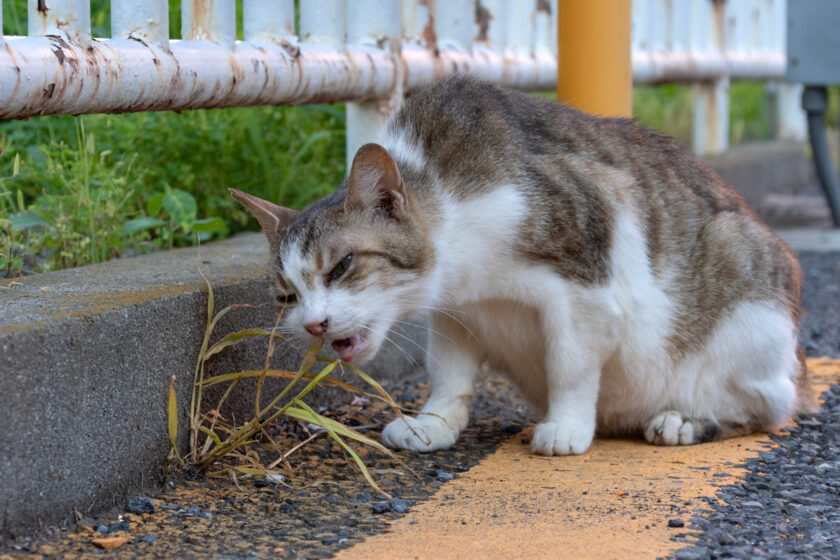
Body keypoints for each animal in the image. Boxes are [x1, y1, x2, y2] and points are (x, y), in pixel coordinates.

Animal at [228, 75, 812, 460]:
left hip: (744, 280)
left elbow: (570, 364)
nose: (313, 324)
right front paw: (433, 425)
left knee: (767, 406)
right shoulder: (456, 311)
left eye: (343, 264)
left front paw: (567, 426)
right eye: (286, 296)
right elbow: (450, 374)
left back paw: (683, 420)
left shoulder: (593, 256)